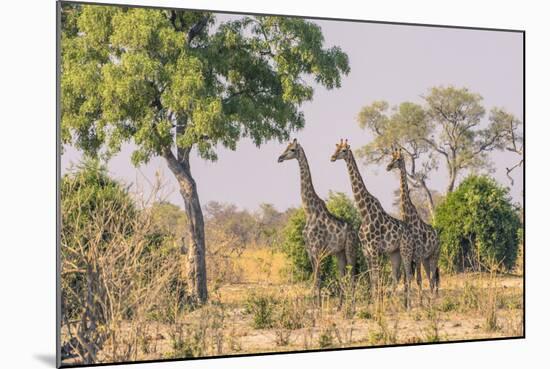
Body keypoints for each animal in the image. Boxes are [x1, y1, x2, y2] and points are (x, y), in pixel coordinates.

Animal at [278, 138, 360, 302]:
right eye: (286, 147)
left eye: (292, 149)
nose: (279, 158)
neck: (309, 211)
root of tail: (355, 231)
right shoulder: (310, 250)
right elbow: (316, 281)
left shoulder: (318, 249)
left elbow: (317, 282)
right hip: (339, 253)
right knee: (342, 276)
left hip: (350, 249)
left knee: (352, 276)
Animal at [332, 139, 418, 308]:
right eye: (336, 148)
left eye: (344, 150)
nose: (332, 157)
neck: (364, 212)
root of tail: (410, 233)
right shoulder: (366, 250)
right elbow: (372, 278)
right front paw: (373, 303)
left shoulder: (374, 249)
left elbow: (376, 277)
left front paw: (377, 303)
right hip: (394, 253)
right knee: (397, 275)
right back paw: (398, 303)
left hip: (406, 250)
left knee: (409, 274)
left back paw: (409, 305)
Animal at [388, 147, 444, 294]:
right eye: (391, 158)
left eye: (398, 159)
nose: (388, 166)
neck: (409, 218)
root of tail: (439, 238)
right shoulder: (411, 255)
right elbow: (407, 280)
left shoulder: (417, 254)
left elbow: (417, 279)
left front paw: (420, 300)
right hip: (426, 258)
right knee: (431, 278)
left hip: (434, 255)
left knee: (433, 277)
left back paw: (434, 297)